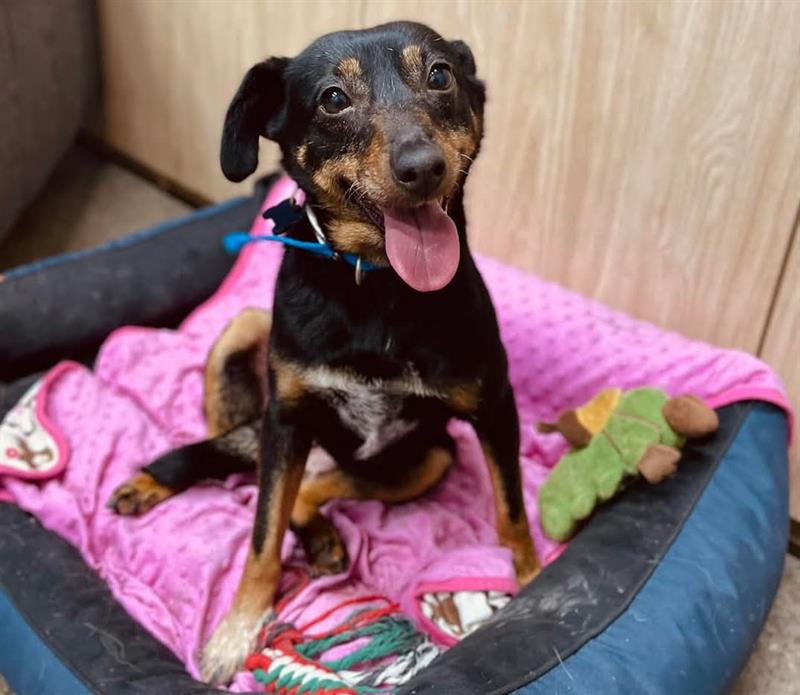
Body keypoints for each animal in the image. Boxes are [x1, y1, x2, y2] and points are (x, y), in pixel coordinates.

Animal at [108, 21, 540, 684]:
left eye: (440, 74)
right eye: (333, 99)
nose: (424, 167)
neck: (380, 284)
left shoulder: (494, 404)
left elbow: (511, 510)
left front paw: (534, 580)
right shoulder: (285, 418)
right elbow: (261, 537)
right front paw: (237, 631)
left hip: (426, 458)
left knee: (308, 490)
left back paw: (325, 539)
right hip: (248, 344)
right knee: (248, 471)